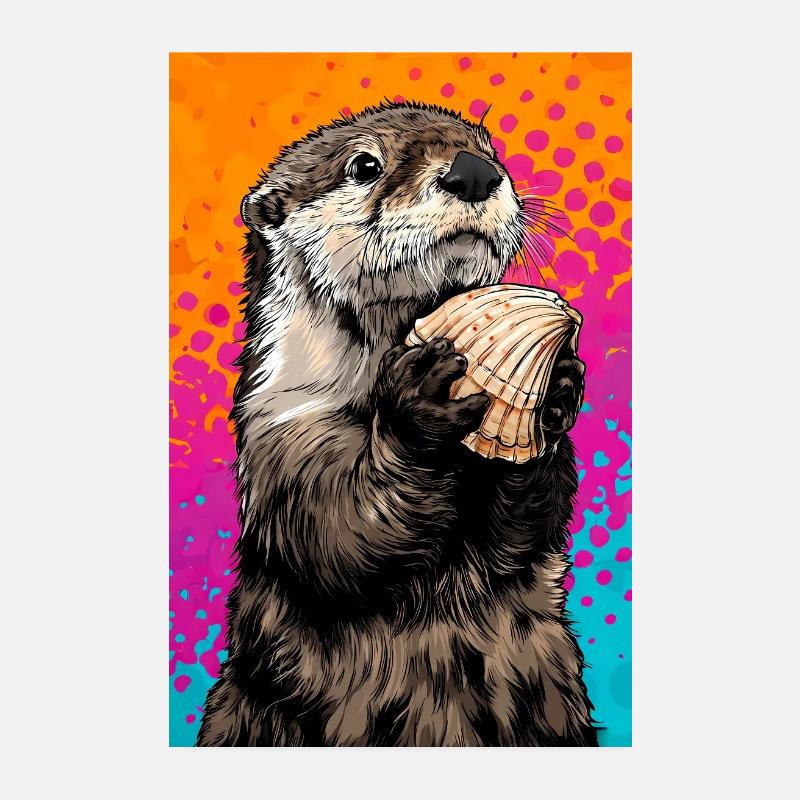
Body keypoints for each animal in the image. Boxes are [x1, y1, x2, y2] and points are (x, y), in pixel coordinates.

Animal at [197, 101, 597, 747]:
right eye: (364, 165)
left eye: (490, 148)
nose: (472, 172)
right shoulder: (280, 432)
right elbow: (337, 530)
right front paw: (418, 408)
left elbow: (521, 539)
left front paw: (556, 390)